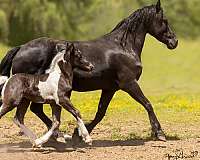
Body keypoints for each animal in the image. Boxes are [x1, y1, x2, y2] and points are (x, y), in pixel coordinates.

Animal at [0, 0, 178, 141]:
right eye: (165, 20)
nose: (174, 41)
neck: (123, 47)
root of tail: (21, 47)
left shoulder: (110, 88)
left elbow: (100, 112)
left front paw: (78, 134)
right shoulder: (129, 84)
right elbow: (147, 104)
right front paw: (160, 133)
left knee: (36, 110)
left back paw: (59, 136)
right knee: (35, 110)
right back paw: (58, 136)